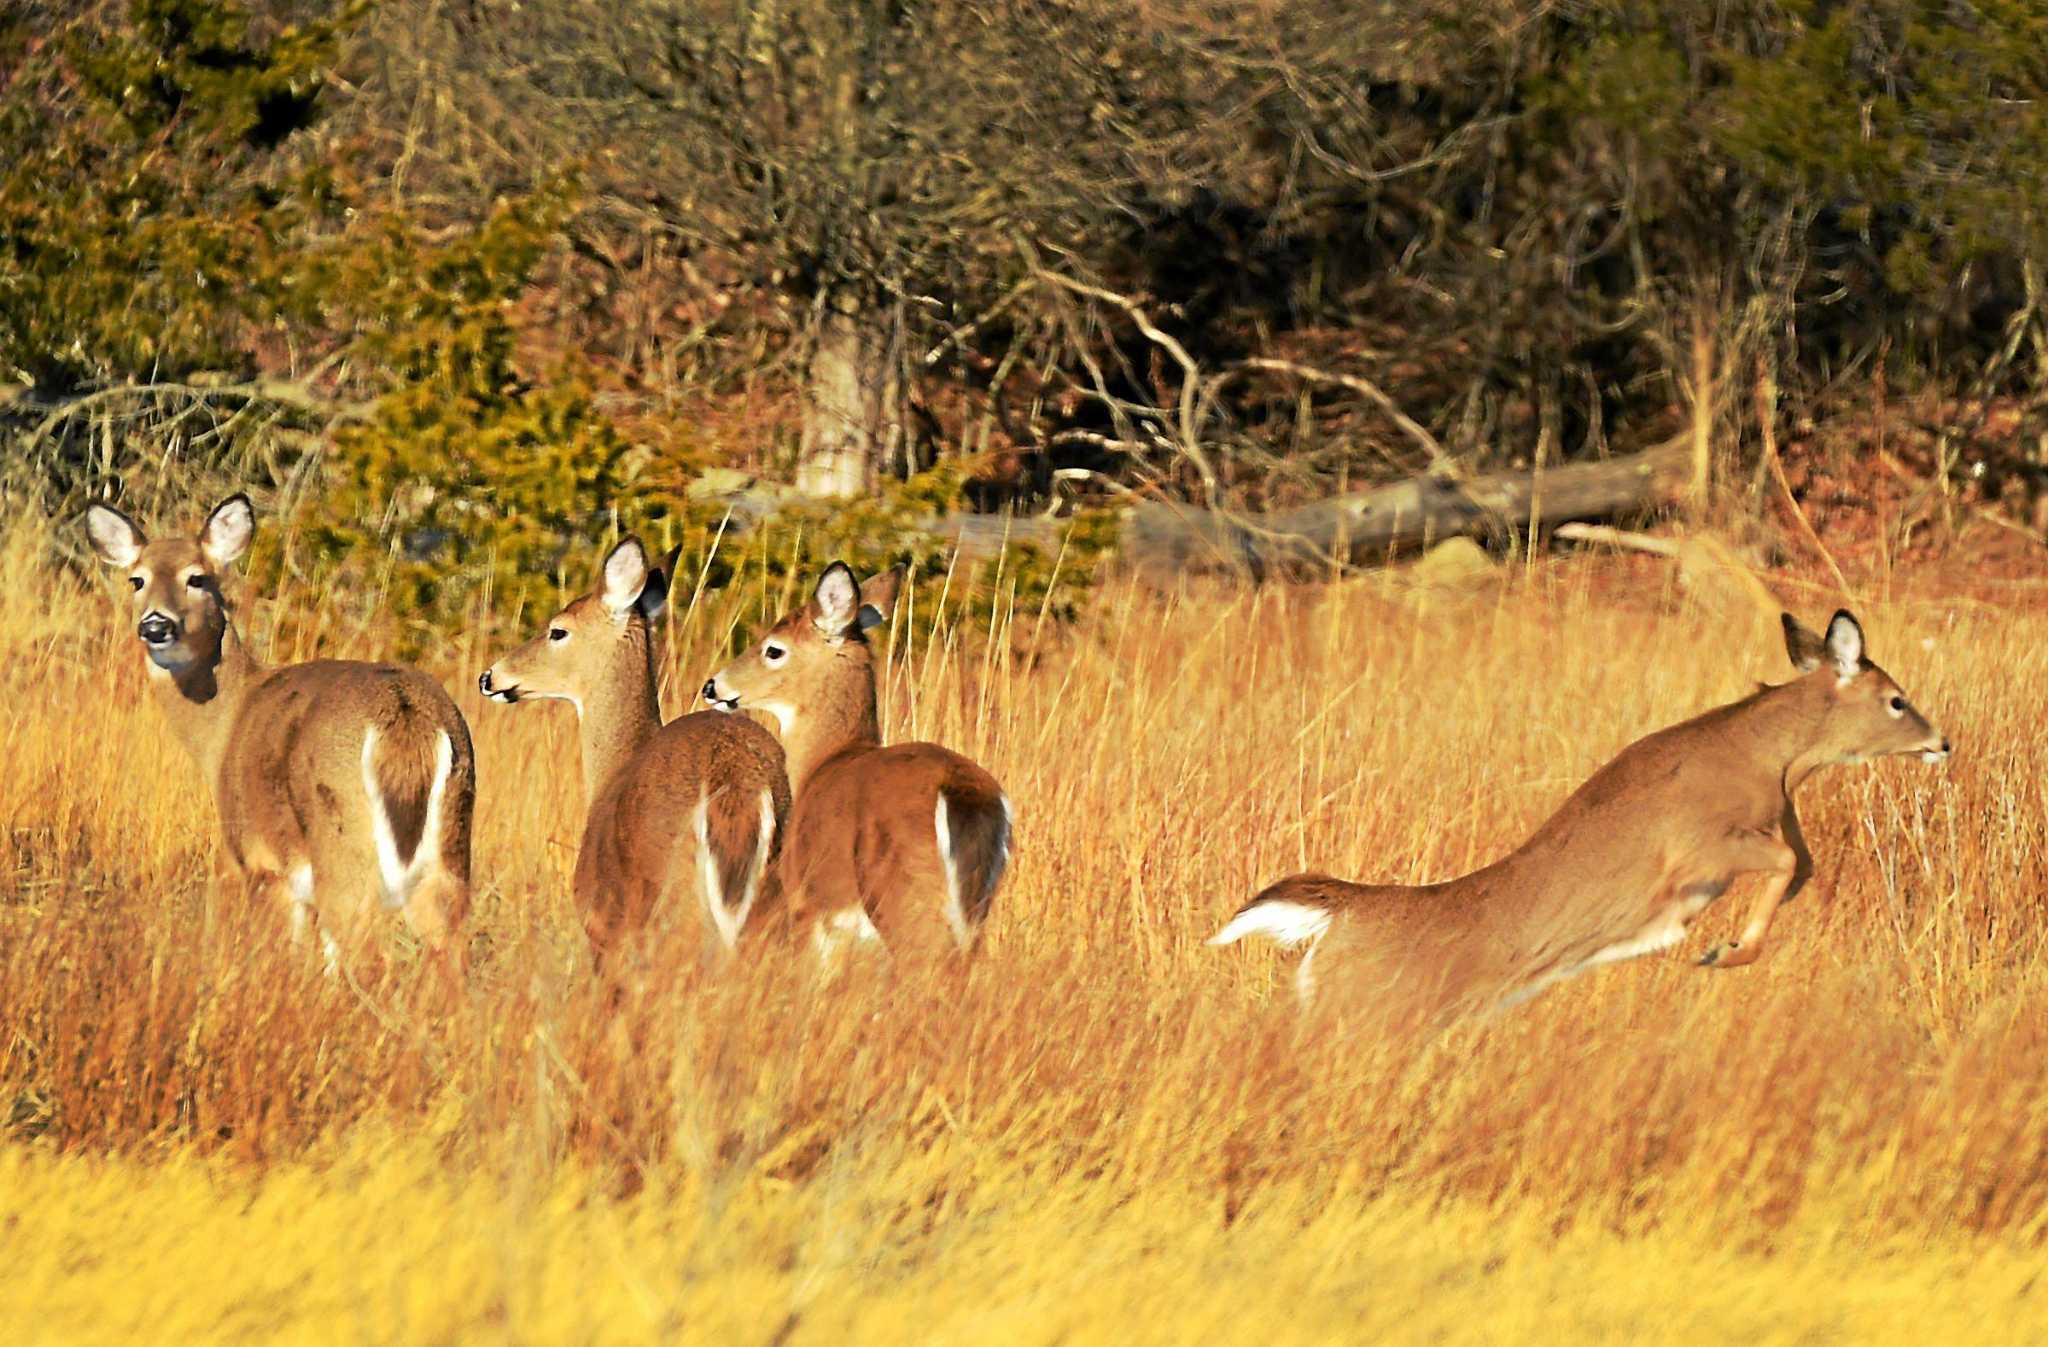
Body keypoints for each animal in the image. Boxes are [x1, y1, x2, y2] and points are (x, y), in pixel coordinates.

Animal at [84, 493, 475, 983]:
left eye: (198, 578)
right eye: (137, 579)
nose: (156, 626)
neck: (226, 723)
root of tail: (406, 715)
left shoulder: (262, 863)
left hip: (343, 848)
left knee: (362, 956)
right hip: (449, 853)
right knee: (451, 953)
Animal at [701, 562, 1012, 965]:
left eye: (774, 649)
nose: (712, 686)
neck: (823, 762)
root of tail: (960, 791)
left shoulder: (808, 904)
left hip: (901, 897)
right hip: (976, 906)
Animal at [1209, 610, 1951, 1028]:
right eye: (1896, 699)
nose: (1942, 741)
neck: (1769, 760)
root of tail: (1337, 919)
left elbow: (1804, 864)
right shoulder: (1696, 851)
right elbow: (1790, 861)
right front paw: (1727, 951)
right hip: (1366, 1016)